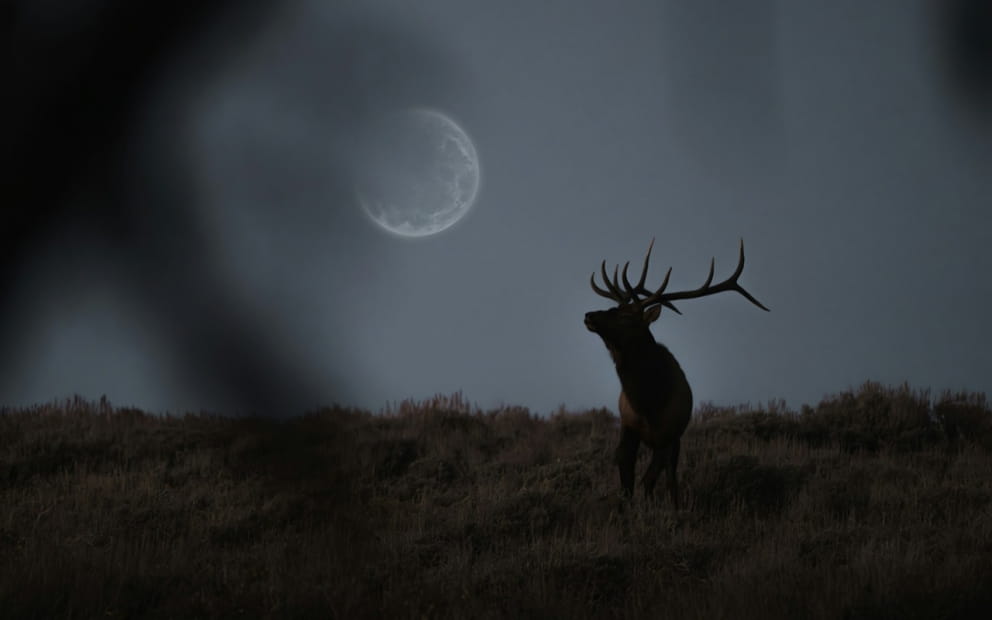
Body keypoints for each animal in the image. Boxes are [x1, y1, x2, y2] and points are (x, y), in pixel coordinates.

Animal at [584, 240, 772, 506]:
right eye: (613, 308)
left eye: (627, 317)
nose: (589, 315)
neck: (649, 402)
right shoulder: (628, 427)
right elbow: (627, 482)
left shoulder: (669, 434)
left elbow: (653, 481)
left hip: (674, 440)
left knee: (666, 477)